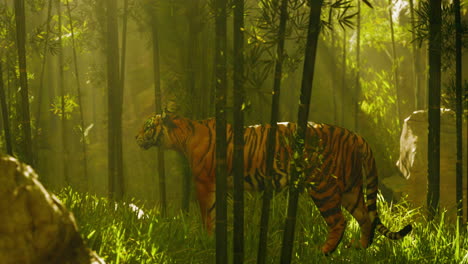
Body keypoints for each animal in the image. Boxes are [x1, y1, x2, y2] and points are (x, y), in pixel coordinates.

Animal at [136, 112, 414, 256]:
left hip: (322, 186)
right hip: (350, 189)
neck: (183, 135)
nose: (135, 137)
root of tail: (355, 135)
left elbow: (208, 215)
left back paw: (322, 251)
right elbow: (219, 215)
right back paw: (360, 249)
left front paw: (208, 240)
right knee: (366, 218)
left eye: (147, 127)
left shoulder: (204, 184)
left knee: (339, 221)